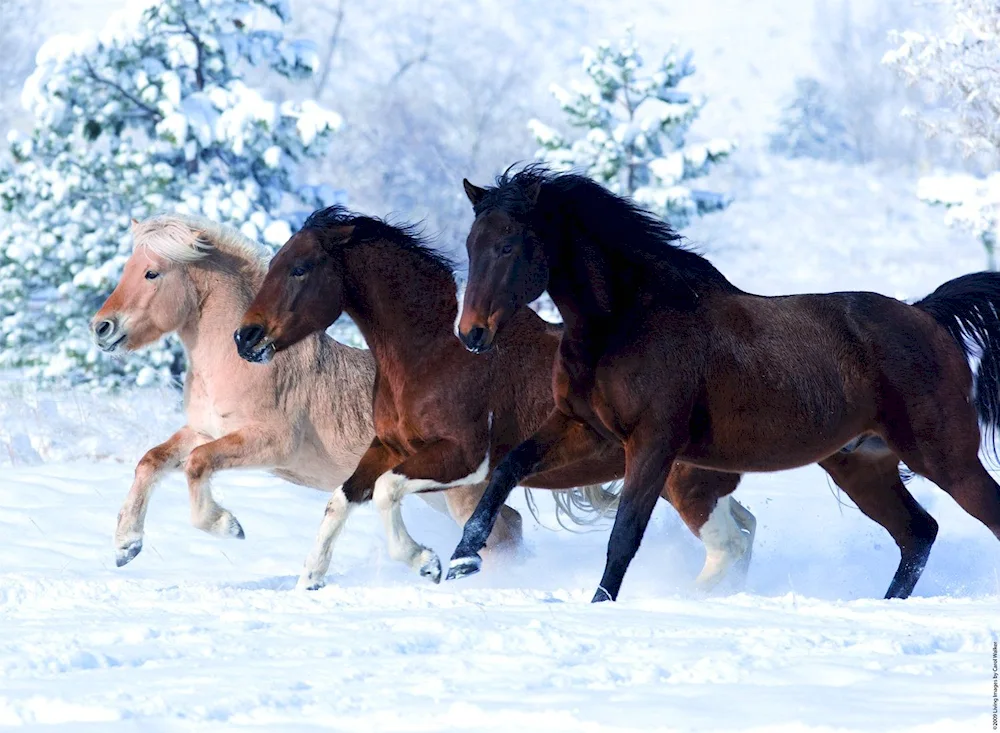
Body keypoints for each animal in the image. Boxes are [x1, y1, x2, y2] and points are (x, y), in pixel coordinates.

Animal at [92, 213, 524, 584]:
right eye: (127, 269)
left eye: (152, 272)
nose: (101, 327)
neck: (240, 363)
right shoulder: (204, 430)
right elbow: (151, 461)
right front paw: (126, 546)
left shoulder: (270, 443)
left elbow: (197, 465)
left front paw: (228, 526)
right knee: (511, 525)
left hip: (459, 491)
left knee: (502, 533)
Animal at [234, 204, 756, 588]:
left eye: (300, 269)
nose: (245, 337)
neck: (432, 352)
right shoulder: (388, 447)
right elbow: (340, 499)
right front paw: (310, 579)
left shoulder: (463, 458)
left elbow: (385, 492)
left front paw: (426, 562)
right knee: (744, 530)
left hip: (684, 484)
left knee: (730, 545)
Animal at [450, 169, 1000, 604]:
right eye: (471, 245)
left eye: (507, 246)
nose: (471, 334)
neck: (625, 321)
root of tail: (927, 315)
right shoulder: (583, 427)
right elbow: (507, 469)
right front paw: (461, 561)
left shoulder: (653, 444)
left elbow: (624, 534)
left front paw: (598, 605)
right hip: (863, 465)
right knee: (917, 534)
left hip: (944, 457)